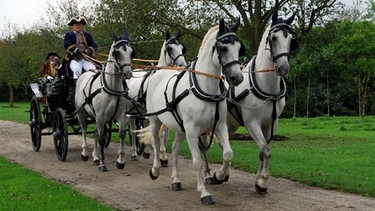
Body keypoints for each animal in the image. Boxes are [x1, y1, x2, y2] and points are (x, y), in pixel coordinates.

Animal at [75, 30, 135, 171]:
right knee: (84, 130)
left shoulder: (120, 115)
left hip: (95, 116)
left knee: (96, 133)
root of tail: (83, 74)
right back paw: (85, 153)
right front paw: (103, 164)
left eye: (131, 52)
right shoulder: (101, 116)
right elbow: (102, 139)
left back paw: (95, 156)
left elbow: (121, 134)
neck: (112, 88)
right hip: (82, 113)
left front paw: (120, 161)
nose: (127, 74)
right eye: (117, 52)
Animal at [126, 30, 187, 162]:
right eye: (169, 48)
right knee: (133, 131)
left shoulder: (166, 113)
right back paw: (134, 153)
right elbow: (159, 133)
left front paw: (162, 155)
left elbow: (164, 134)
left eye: (182, 48)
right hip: (132, 112)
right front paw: (159, 155)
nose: (182, 65)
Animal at [145, 19, 245, 204]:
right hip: (156, 121)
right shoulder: (192, 130)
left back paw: (176, 180)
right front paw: (204, 192)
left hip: (180, 127)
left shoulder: (219, 125)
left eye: (239, 47)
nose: (237, 77)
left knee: (175, 149)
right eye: (223, 47)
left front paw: (219, 175)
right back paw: (155, 170)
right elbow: (197, 161)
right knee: (156, 142)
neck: (206, 88)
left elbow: (228, 154)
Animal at [226, 11, 300, 193]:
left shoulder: (271, 124)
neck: (267, 86)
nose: (283, 67)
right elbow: (266, 151)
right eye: (273, 37)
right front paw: (262, 181)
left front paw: (260, 181)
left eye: (291, 40)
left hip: (230, 124)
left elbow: (262, 151)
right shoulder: (252, 123)